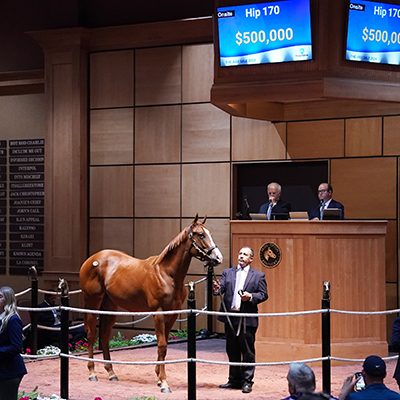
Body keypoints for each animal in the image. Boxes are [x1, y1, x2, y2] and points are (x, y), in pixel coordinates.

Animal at [78, 216, 222, 394]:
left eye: (209, 233)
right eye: (201, 234)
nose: (218, 258)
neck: (167, 274)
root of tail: (91, 260)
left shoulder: (172, 314)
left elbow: (164, 345)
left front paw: (159, 378)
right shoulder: (158, 314)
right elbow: (162, 345)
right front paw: (164, 383)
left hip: (110, 307)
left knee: (104, 336)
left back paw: (111, 373)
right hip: (92, 303)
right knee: (91, 334)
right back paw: (92, 373)